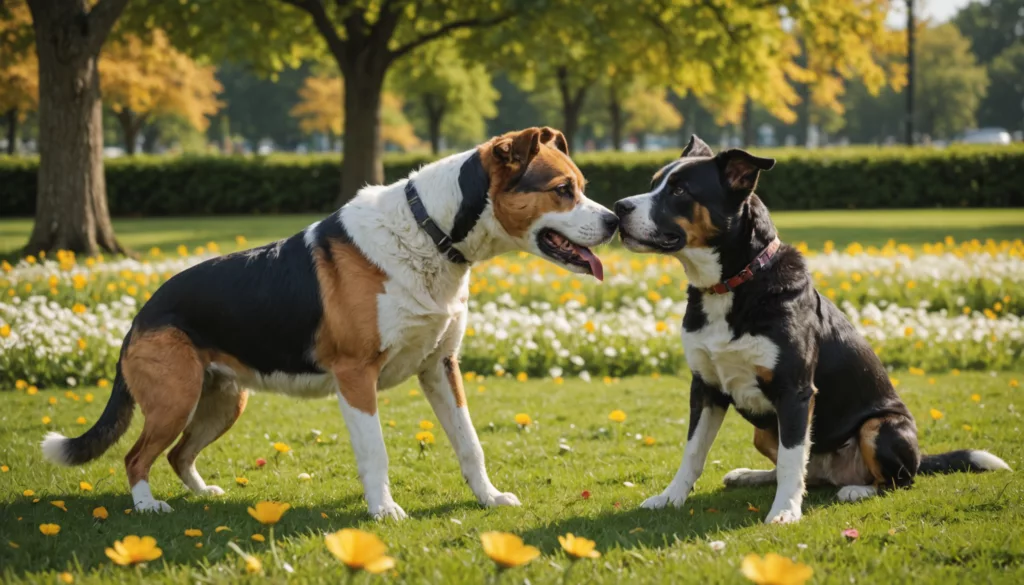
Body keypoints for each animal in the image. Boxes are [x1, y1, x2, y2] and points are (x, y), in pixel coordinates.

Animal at [44, 127, 618, 516]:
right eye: (562, 189)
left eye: (581, 185)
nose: (615, 220)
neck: (431, 233)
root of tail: (141, 314)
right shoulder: (356, 375)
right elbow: (376, 452)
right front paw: (384, 512)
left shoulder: (440, 367)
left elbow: (469, 443)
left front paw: (489, 497)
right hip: (174, 400)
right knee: (136, 457)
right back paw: (147, 507)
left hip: (222, 403)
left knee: (178, 455)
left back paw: (204, 494)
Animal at [614, 135, 1007, 524]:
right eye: (655, 183)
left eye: (680, 190)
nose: (619, 207)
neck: (731, 286)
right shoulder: (706, 388)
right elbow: (693, 453)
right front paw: (670, 497)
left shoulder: (795, 391)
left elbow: (792, 460)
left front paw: (785, 510)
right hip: (764, 431)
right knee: (808, 472)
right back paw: (751, 476)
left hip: (881, 427)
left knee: (895, 480)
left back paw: (856, 489)